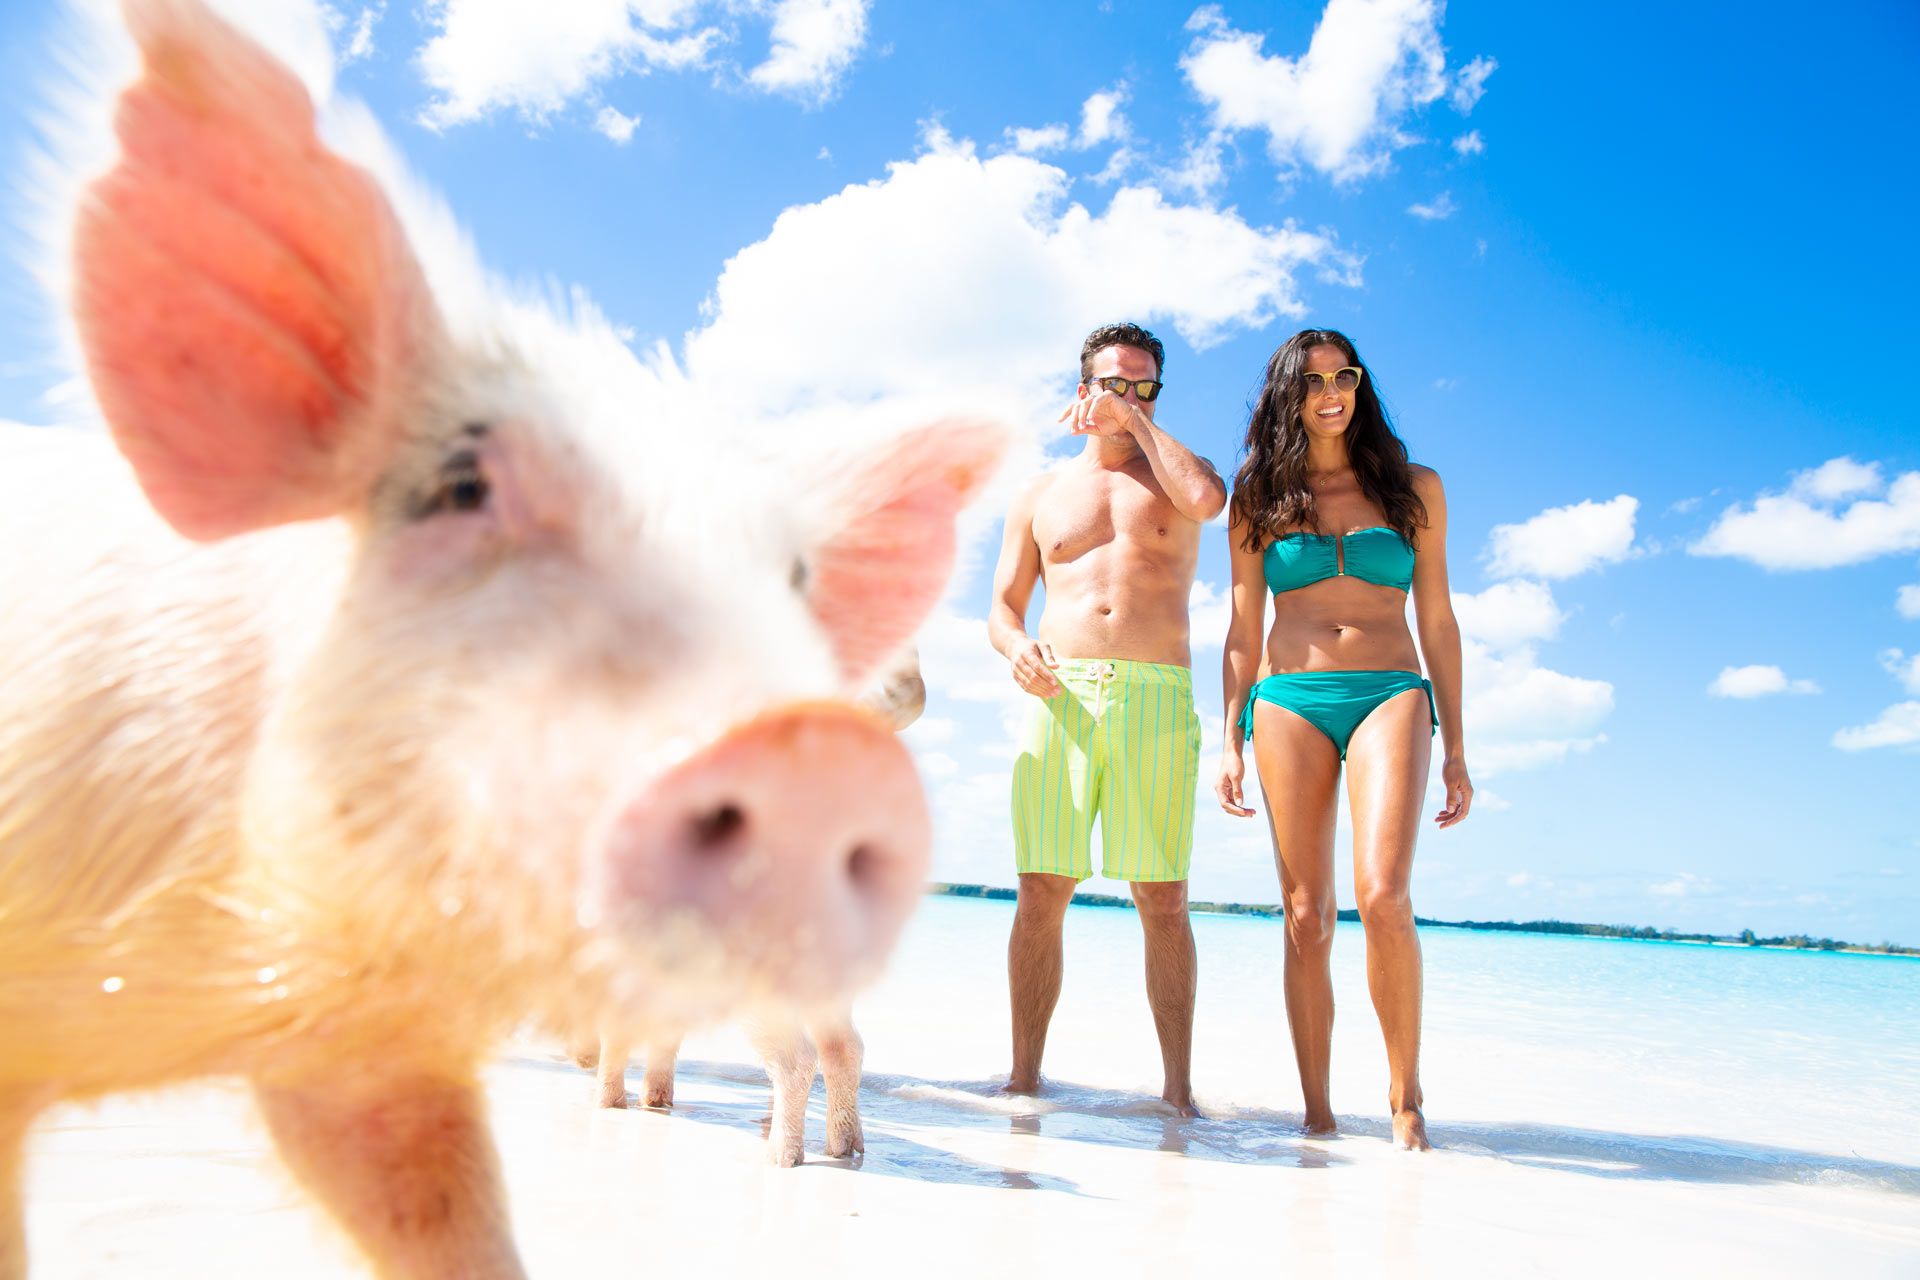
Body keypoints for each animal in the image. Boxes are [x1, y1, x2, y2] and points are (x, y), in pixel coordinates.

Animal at [587, 652, 925, 1174]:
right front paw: (653, 1103)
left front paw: (608, 1105)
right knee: (846, 1047)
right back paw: (846, 1149)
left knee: (799, 1057)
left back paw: (780, 1158)